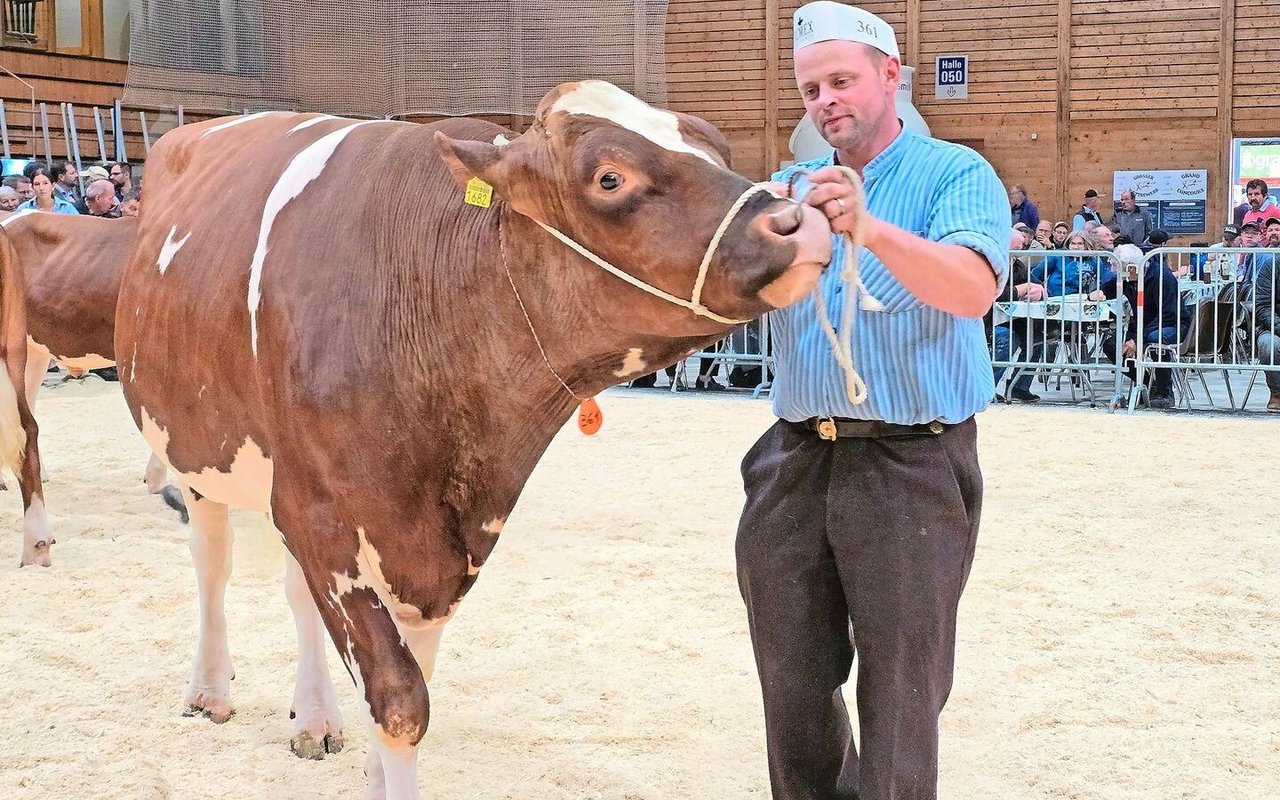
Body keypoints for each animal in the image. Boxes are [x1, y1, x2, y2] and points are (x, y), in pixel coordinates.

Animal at [112, 79, 829, 793]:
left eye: (716, 145)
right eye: (609, 176)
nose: (801, 222)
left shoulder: (442, 546)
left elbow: (410, 679)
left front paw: (371, 768)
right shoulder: (320, 514)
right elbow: (401, 702)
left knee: (294, 592)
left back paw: (314, 718)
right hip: (197, 451)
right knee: (212, 563)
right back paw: (210, 691)